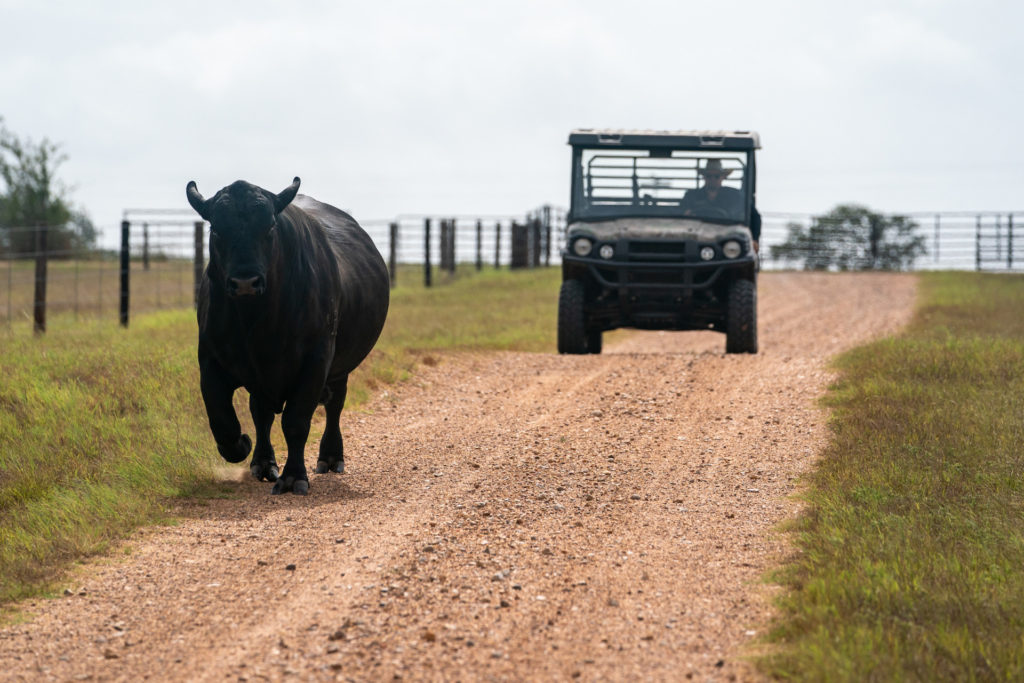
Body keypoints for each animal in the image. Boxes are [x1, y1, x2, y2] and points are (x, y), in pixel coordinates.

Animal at [186, 177, 389, 495]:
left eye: (269, 227)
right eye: (216, 229)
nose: (245, 282)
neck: (256, 322)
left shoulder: (316, 361)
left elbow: (296, 422)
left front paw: (294, 477)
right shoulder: (210, 360)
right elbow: (222, 420)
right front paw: (242, 446)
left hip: (340, 368)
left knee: (334, 405)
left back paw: (330, 457)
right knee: (261, 415)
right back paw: (263, 463)